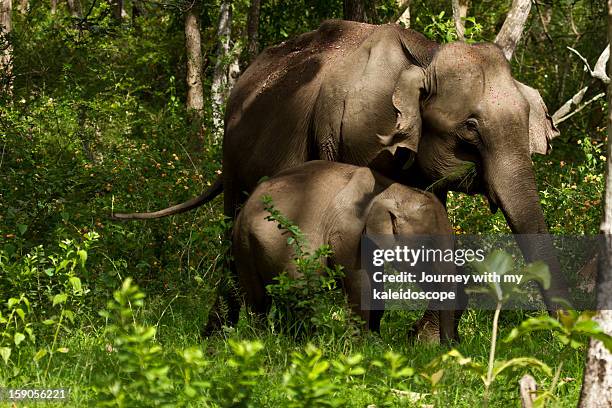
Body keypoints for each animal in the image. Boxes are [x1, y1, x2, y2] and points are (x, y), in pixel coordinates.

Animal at [232, 161, 456, 342]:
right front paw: (362, 345)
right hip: (250, 244)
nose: (448, 346)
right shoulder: (346, 232)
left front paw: (376, 341)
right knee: (281, 295)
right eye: (429, 246)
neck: (389, 189)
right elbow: (359, 282)